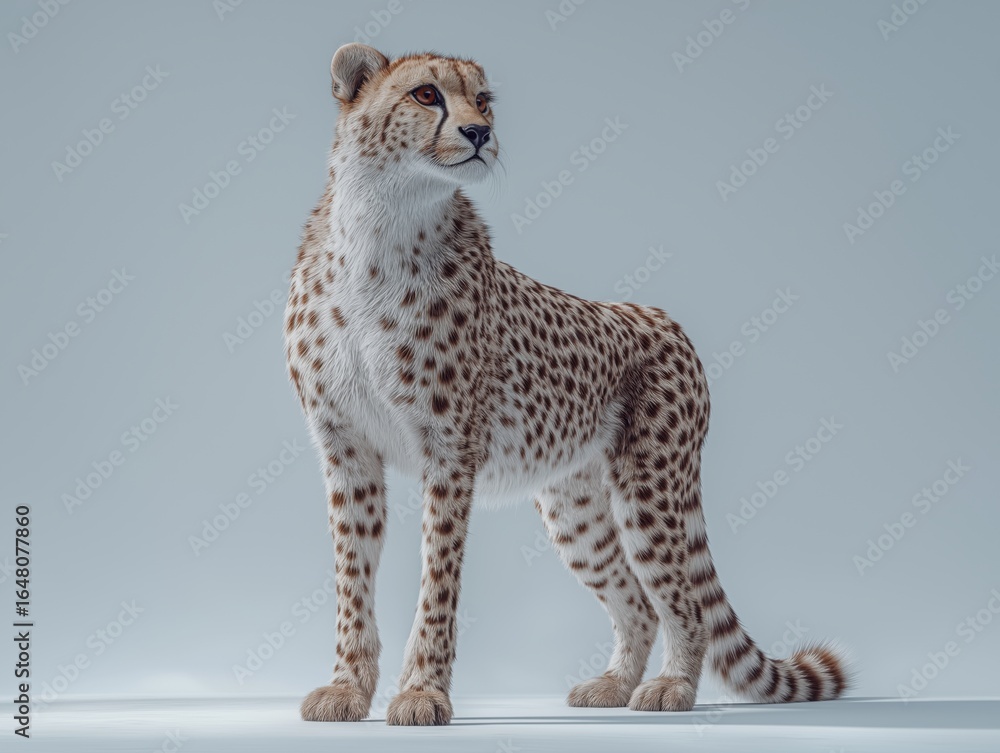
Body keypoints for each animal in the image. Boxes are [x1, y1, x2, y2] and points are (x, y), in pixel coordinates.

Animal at [283, 43, 849, 726]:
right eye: (425, 94)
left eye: (484, 100)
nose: (480, 133)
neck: (381, 223)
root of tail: (663, 318)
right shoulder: (346, 449)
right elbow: (352, 577)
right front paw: (347, 687)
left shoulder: (450, 452)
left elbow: (436, 582)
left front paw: (421, 692)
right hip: (573, 506)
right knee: (637, 601)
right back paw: (614, 685)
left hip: (649, 484)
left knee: (682, 600)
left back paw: (671, 688)